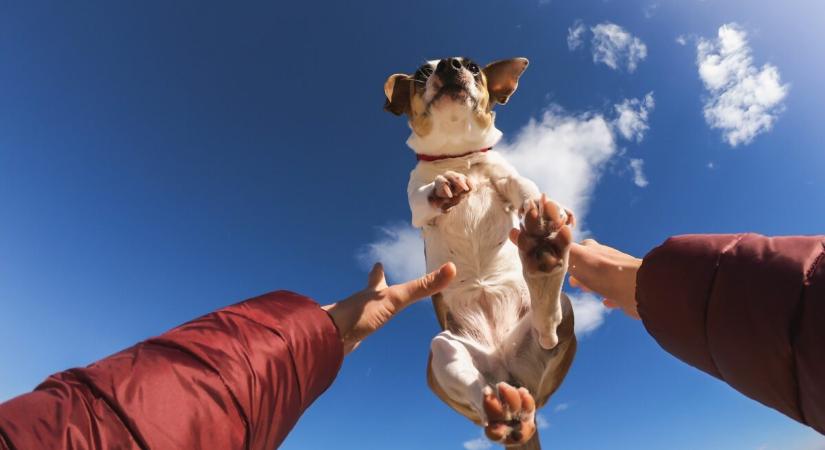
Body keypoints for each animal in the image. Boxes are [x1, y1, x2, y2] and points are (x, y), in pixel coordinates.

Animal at [384, 58, 576, 448]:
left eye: (474, 66)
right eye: (421, 73)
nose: (449, 64)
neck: (459, 155)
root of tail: (510, 377)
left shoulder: (505, 179)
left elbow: (523, 185)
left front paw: (541, 209)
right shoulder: (415, 205)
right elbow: (423, 195)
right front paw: (442, 187)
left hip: (560, 316)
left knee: (547, 331)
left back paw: (543, 253)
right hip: (443, 354)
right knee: (479, 391)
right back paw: (506, 412)